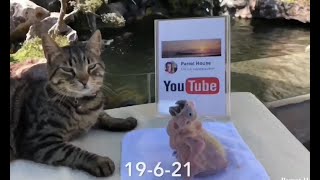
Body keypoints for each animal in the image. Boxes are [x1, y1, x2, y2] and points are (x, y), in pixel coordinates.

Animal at [9, 29, 138, 177]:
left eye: (91, 67)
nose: (84, 80)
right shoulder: (39, 140)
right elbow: (72, 152)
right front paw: (100, 161)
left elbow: (104, 116)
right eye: (68, 69)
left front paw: (123, 121)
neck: (85, 104)